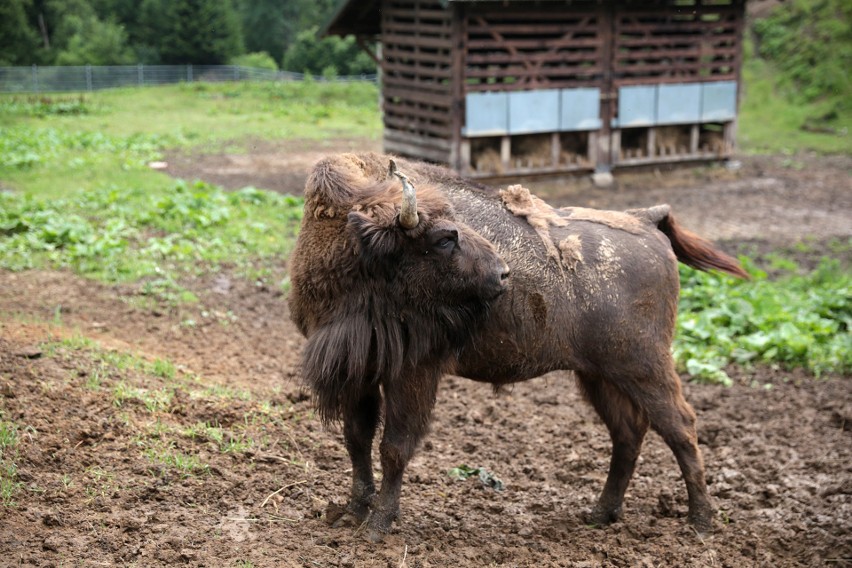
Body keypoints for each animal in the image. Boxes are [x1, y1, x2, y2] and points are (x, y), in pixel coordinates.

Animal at [290, 153, 748, 544]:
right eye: (444, 238)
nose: (502, 273)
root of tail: (647, 220)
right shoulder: (358, 372)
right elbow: (357, 439)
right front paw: (352, 512)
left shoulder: (413, 374)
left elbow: (394, 447)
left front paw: (378, 525)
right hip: (599, 374)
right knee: (629, 432)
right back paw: (600, 514)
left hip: (644, 366)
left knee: (680, 427)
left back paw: (700, 523)